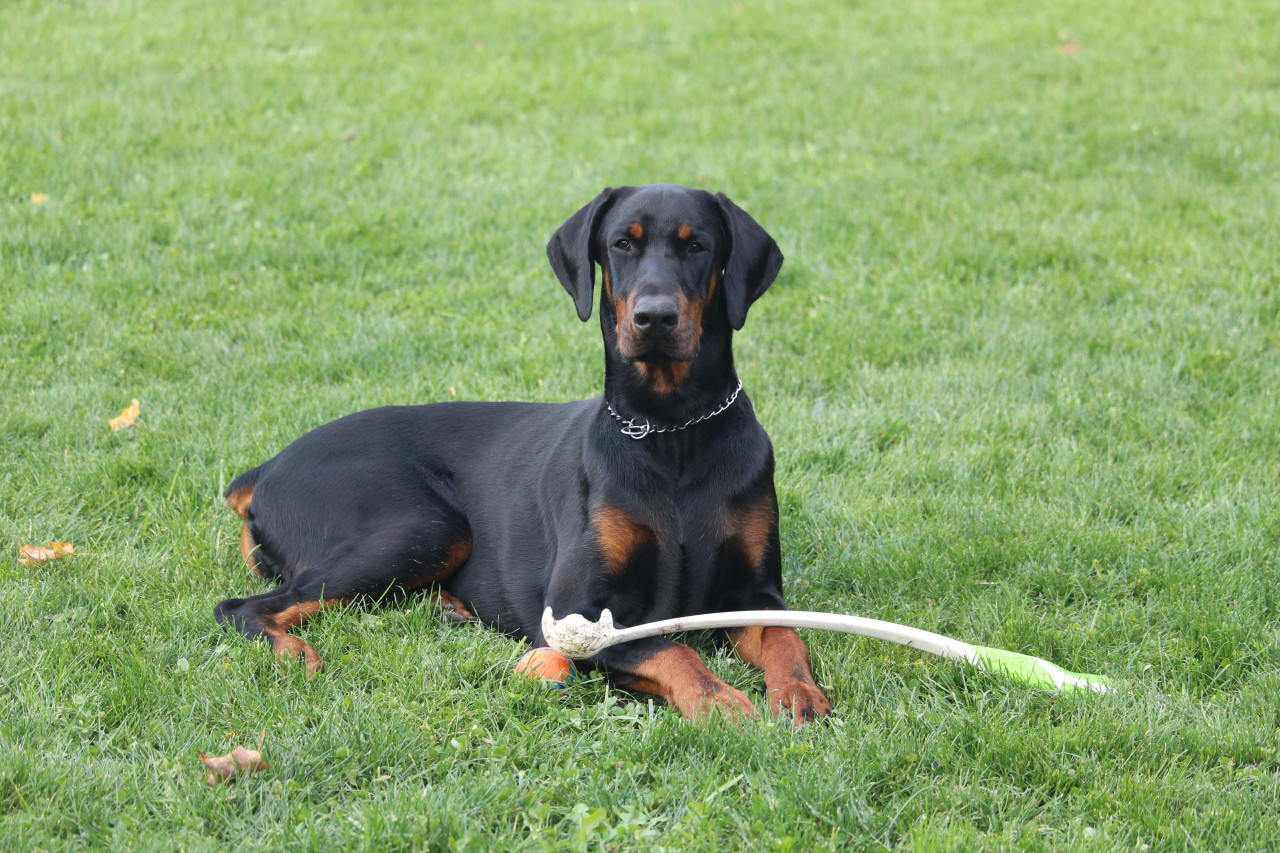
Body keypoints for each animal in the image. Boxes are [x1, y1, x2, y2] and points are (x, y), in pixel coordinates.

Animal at [215, 183, 834, 722]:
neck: (672, 431)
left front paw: (800, 695)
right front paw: (719, 700)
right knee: (239, 607)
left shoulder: (753, 592)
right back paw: (294, 652)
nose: (655, 317)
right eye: (622, 243)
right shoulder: (577, 612)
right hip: (424, 524)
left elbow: (785, 636)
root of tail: (268, 468)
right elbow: (671, 649)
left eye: (698, 245)